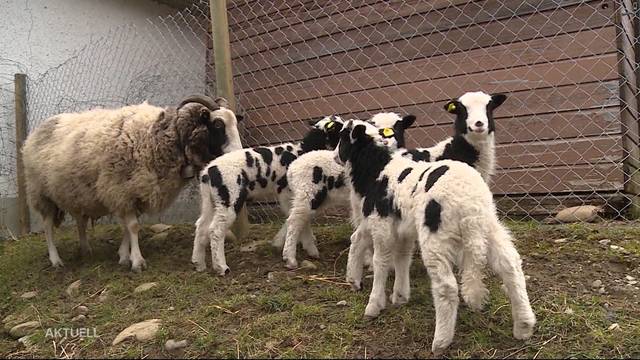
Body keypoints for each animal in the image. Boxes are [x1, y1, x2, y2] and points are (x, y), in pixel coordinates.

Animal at [21, 94, 242, 272]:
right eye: (218, 125)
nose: (238, 154)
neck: (155, 137)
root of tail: (34, 133)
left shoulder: (132, 193)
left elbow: (128, 227)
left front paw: (123, 256)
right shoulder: (121, 190)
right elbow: (133, 226)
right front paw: (137, 261)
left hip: (77, 193)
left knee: (80, 220)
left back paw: (85, 249)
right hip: (42, 194)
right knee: (47, 227)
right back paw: (56, 260)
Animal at [192, 115, 348, 276]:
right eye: (340, 130)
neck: (302, 150)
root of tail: (207, 173)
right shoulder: (288, 192)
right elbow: (295, 218)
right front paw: (297, 246)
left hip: (211, 200)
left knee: (201, 226)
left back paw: (199, 263)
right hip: (229, 197)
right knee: (216, 230)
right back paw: (221, 267)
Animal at [336, 120, 536, 354]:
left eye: (342, 137)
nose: (335, 156)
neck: (376, 168)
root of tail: (470, 204)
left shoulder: (381, 223)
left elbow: (381, 262)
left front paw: (374, 305)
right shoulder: (403, 227)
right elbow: (401, 257)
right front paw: (399, 295)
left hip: (437, 237)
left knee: (446, 287)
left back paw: (440, 342)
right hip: (489, 224)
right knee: (510, 266)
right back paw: (524, 325)